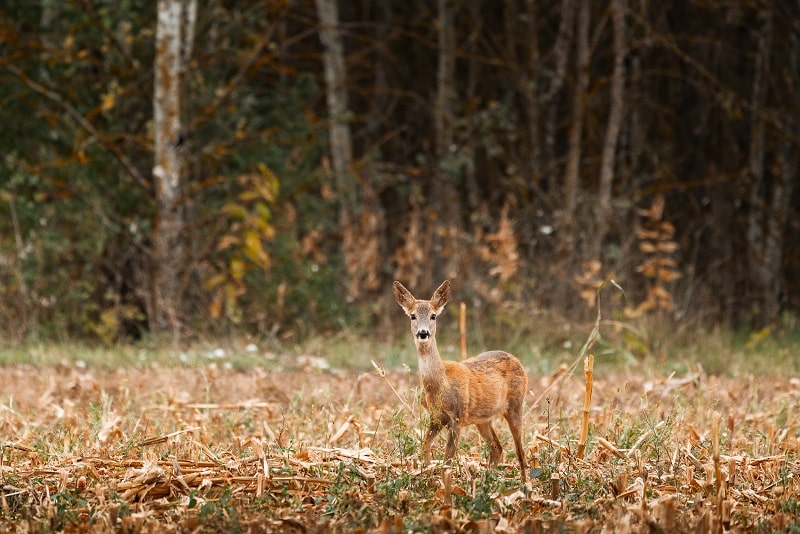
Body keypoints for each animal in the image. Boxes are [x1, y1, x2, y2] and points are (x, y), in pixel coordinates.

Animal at [394, 280, 532, 486]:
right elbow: (425, 449)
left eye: (433, 316)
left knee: (520, 450)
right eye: (412, 316)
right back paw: (485, 482)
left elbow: (447, 462)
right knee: (497, 447)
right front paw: (427, 478)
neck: (440, 386)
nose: (423, 333)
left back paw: (525, 486)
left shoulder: (456, 418)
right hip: (483, 418)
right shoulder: (436, 417)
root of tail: (517, 360)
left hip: (516, 405)